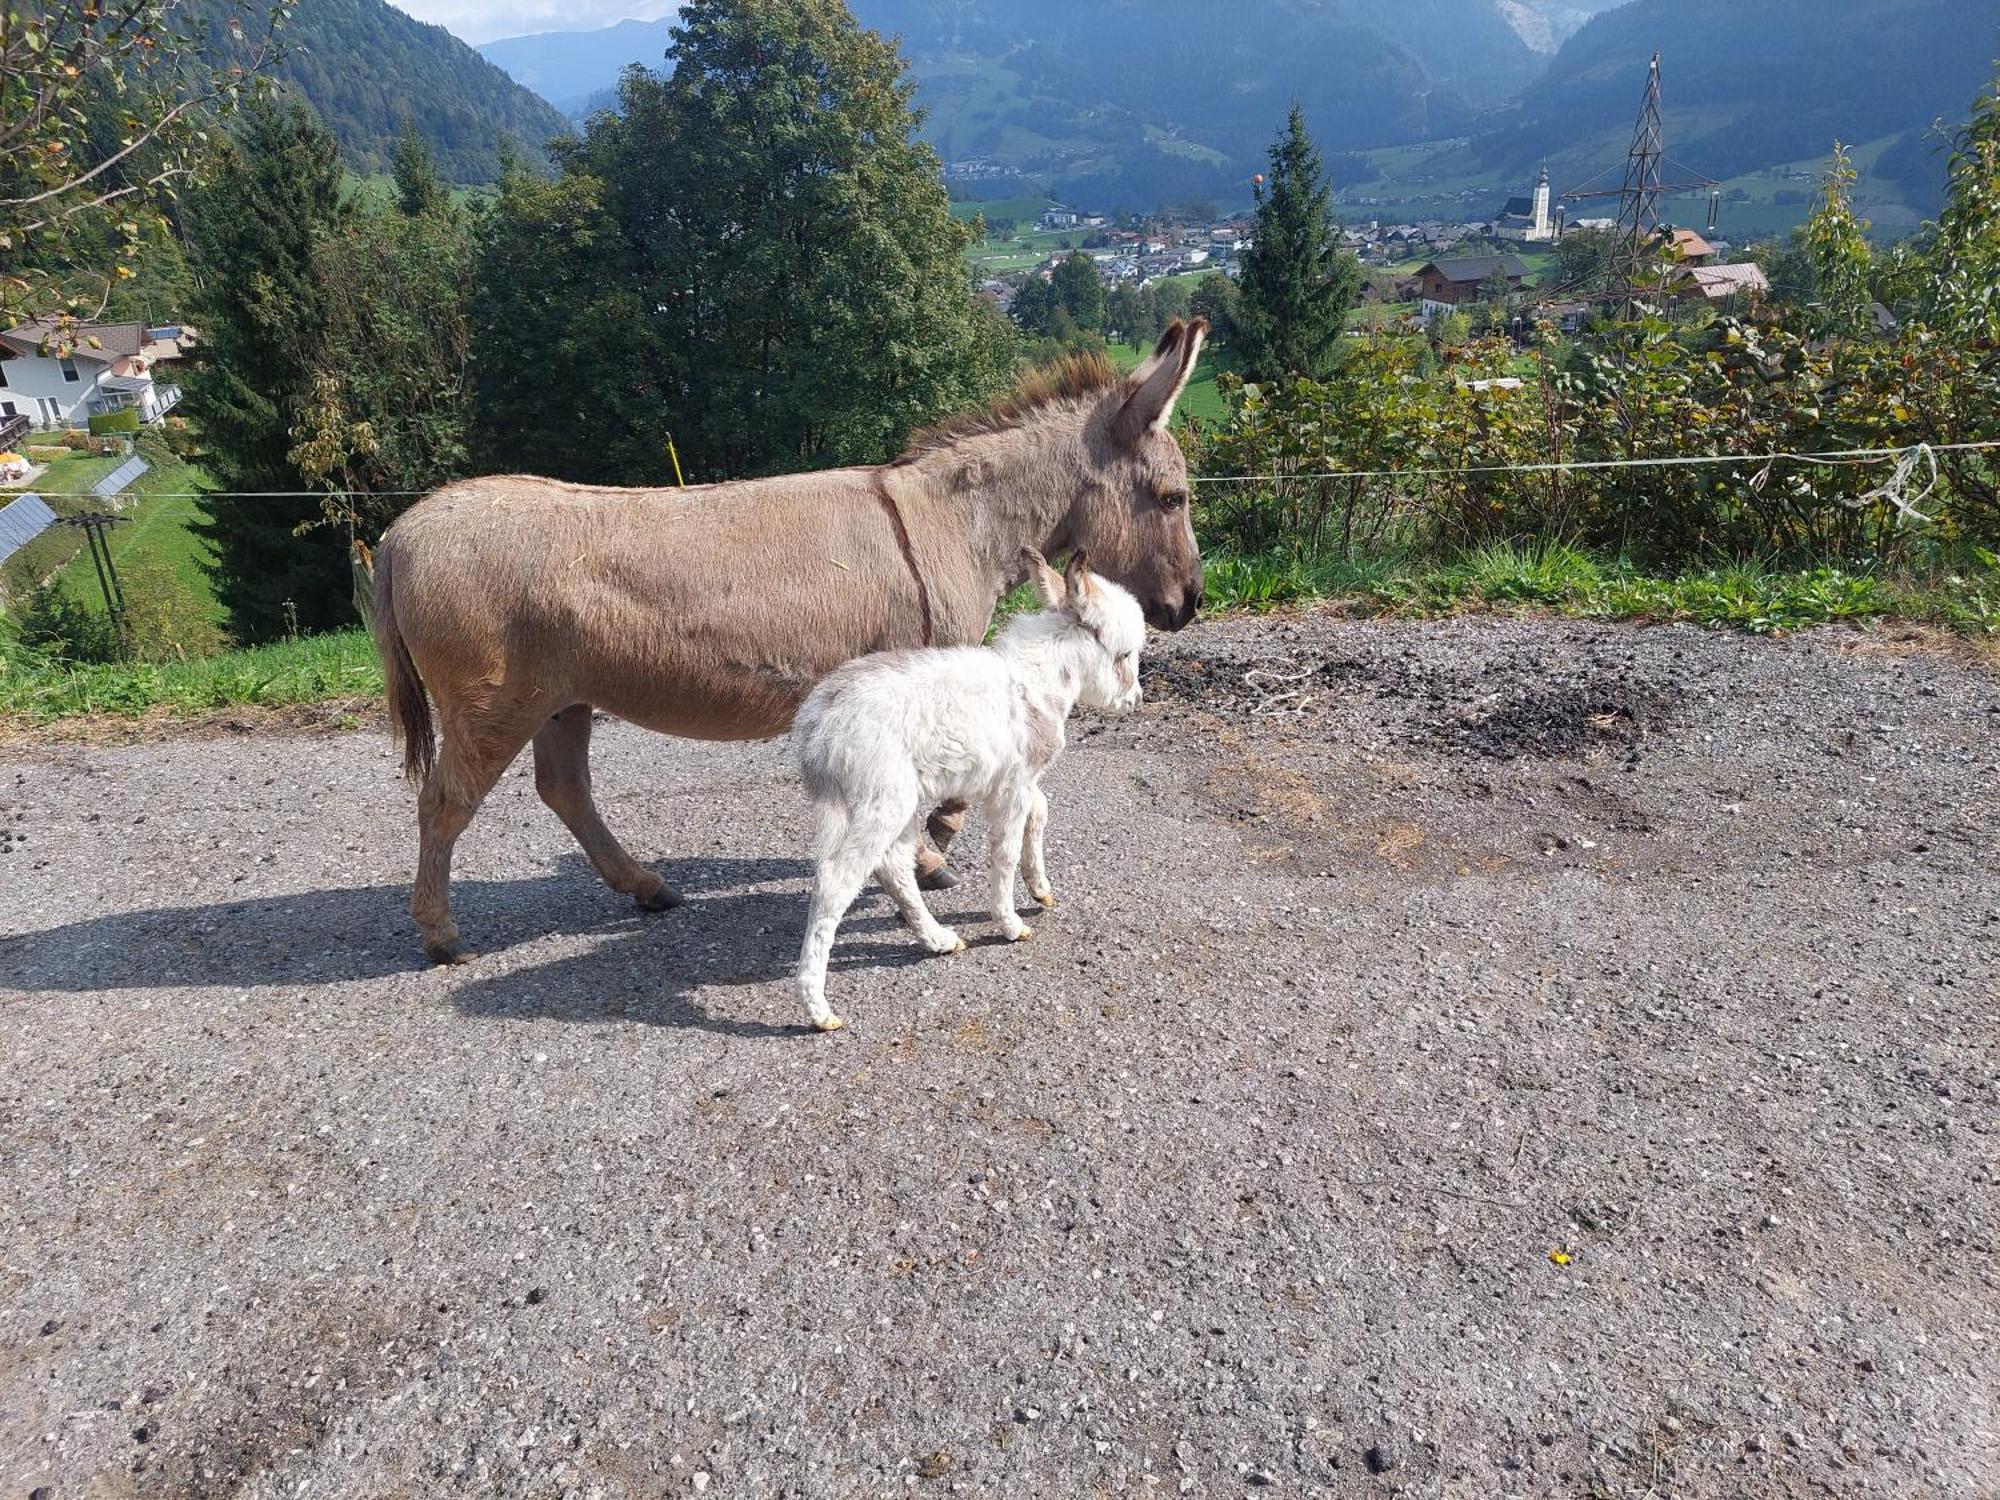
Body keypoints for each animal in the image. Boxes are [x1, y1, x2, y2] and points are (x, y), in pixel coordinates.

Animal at [792, 552, 1152, 1032]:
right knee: (836, 880)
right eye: (1124, 654)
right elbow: (1004, 852)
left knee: (893, 866)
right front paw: (1010, 923)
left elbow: (1041, 812)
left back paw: (938, 939)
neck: (1038, 682)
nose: (1136, 700)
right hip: (881, 802)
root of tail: (818, 719)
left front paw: (1041, 889)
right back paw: (818, 1008)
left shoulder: (1021, 781)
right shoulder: (1011, 788)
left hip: (899, 803)